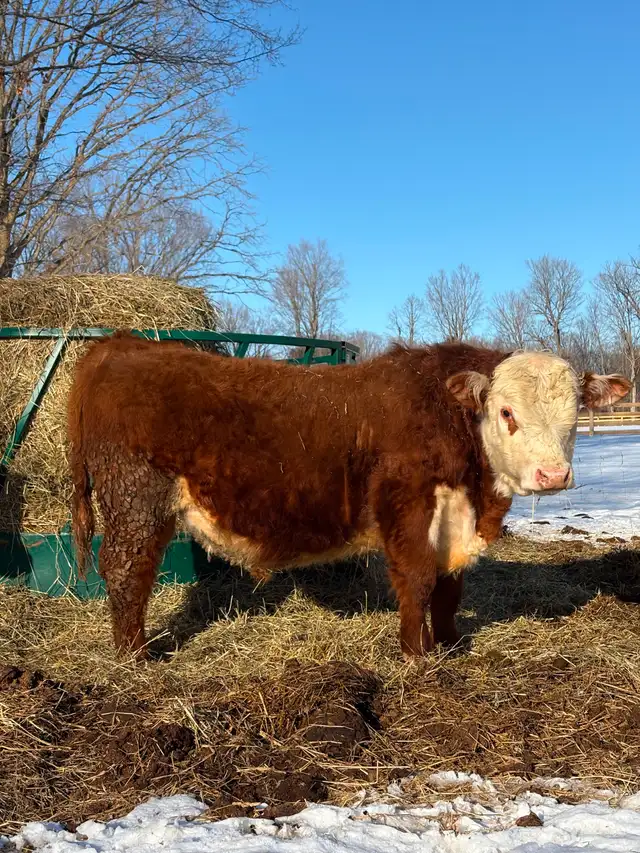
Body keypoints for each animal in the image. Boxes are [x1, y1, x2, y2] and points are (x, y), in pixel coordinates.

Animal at [67, 332, 631, 659]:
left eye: (577, 412)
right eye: (507, 412)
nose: (552, 475)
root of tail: (122, 343)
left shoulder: (454, 519)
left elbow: (450, 587)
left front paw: (450, 645)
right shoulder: (407, 507)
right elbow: (418, 580)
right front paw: (418, 656)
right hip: (135, 500)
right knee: (127, 571)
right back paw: (134, 656)